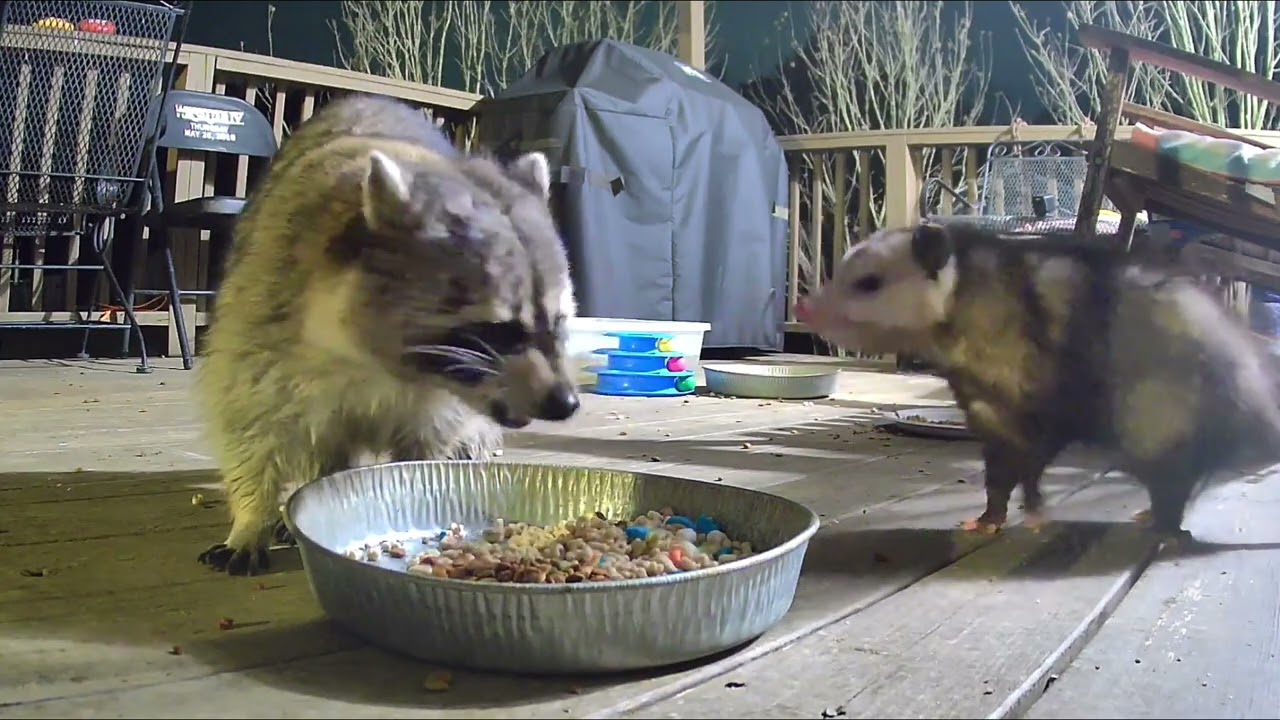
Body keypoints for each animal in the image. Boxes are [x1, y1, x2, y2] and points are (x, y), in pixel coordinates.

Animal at [196, 95, 581, 576]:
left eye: (559, 322)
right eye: (500, 330)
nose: (565, 403)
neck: (379, 362)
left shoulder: (439, 404)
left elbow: (424, 452)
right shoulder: (265, 315)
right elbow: (251, 428)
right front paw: (251, 517)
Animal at [796, 220, 1280, 538]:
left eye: (869, 282)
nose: (804, 307)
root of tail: (1258, 407)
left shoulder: (1047, 395)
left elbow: (1037, 456)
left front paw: (1033, 509)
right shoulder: (987, 409)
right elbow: (998, 469)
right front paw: (988, 518)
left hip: (1160, 417)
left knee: (1173, 481)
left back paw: (1162, 524)